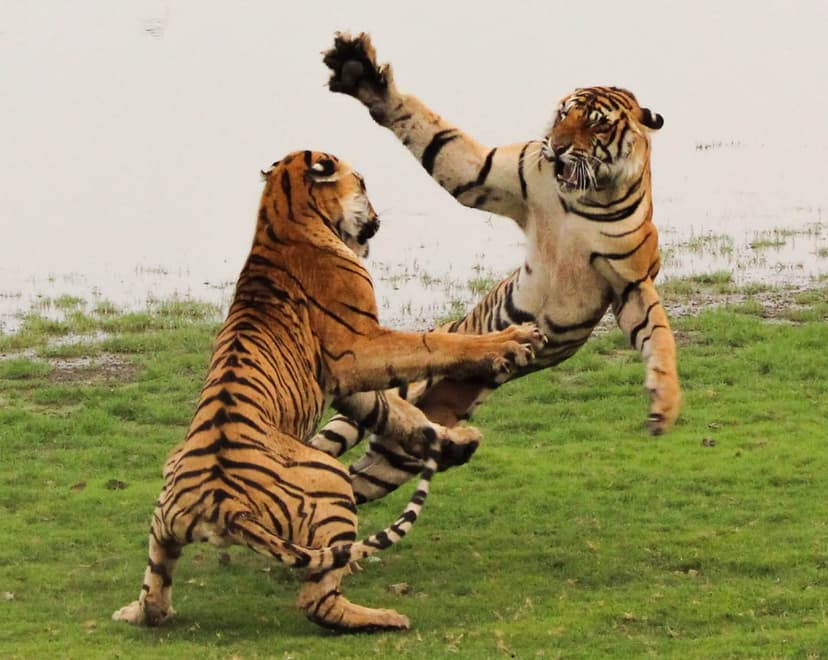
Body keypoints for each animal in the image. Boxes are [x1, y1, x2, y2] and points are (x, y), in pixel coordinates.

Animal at [111, 150, 545, 632]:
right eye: (364, 184)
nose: (377, 217)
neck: (279, 217)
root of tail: (222, 505)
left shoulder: (343, 378)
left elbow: (398, 413)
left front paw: (453, 441)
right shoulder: (360, 348)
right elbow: (435, 345)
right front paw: (511, 341)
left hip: (163, 518)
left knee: (155, 588)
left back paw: (135, 611)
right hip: (329, 479)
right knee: (317, 600)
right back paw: (383, 615)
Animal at [307, 32, 681, 504]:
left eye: (596, 124)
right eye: (564, 113)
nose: (557, 146)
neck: (584, 195)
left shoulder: (630, 282)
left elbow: (660, 336)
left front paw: (663, 404)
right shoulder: (486, 175)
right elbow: (430, 130)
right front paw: (360, 72)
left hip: (396, 457)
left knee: (352, 479)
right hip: (383, 388)